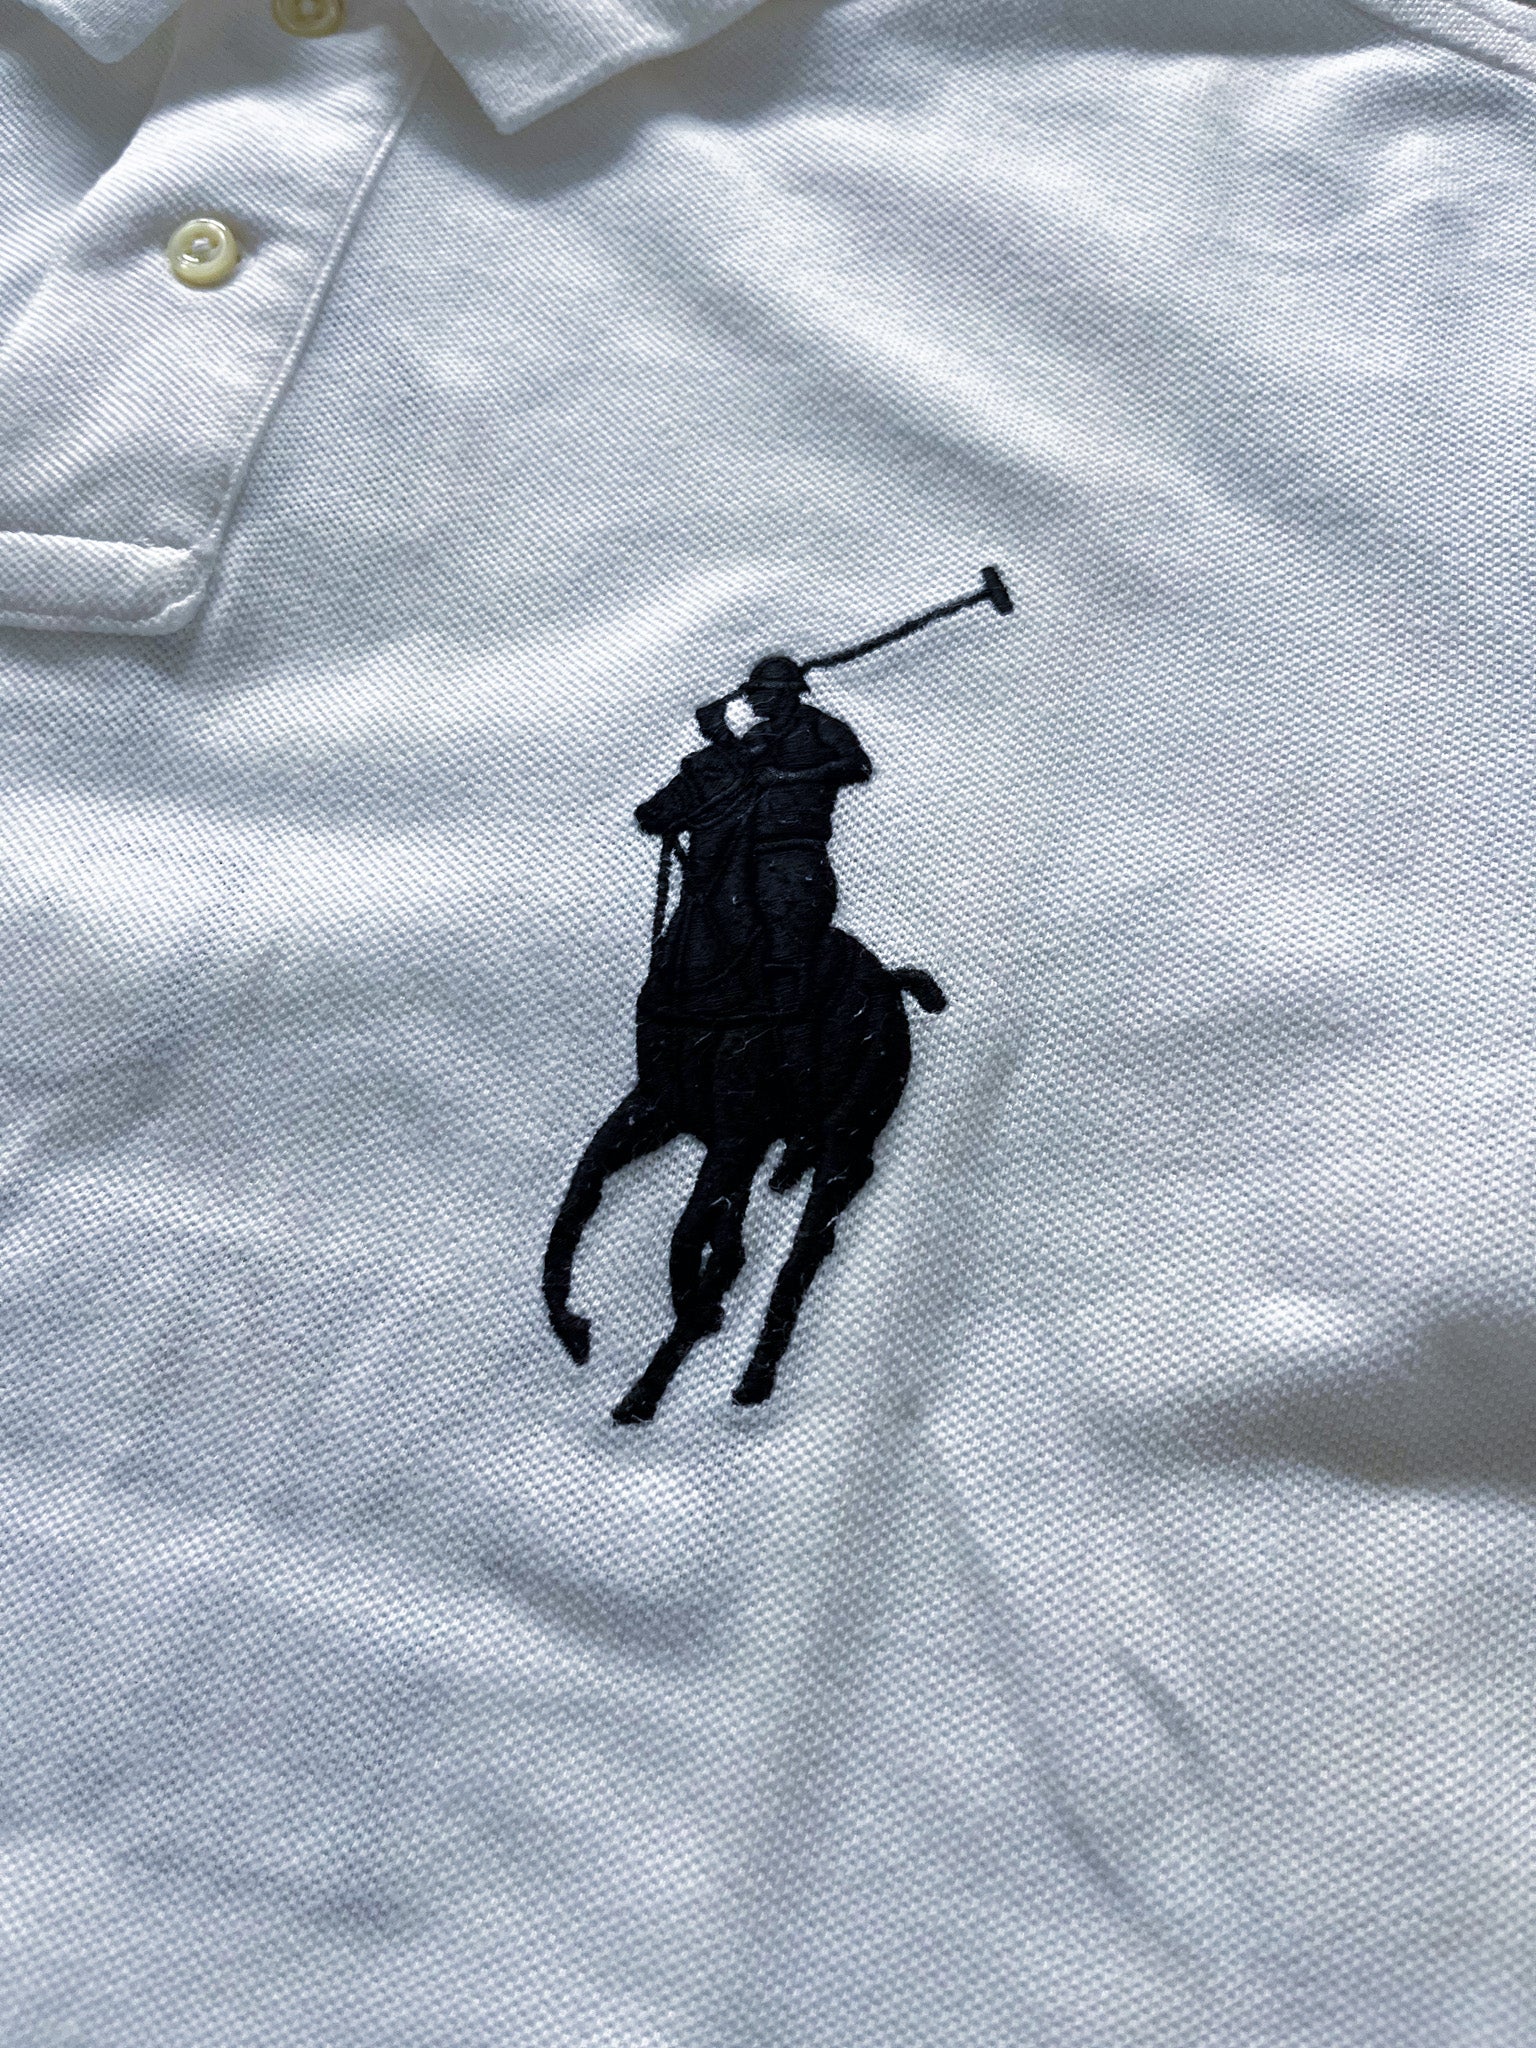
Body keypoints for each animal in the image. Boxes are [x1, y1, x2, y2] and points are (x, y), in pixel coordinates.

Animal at [542, 927, 946, 1424]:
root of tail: (892, 981)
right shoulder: (662, 1106)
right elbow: (583, 1192)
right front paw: (575, 1331)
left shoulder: (734, 1131)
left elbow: (696, 1238)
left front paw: (689, 1323)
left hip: (843, 1132)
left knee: (805, 1243)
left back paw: (735, 1382)